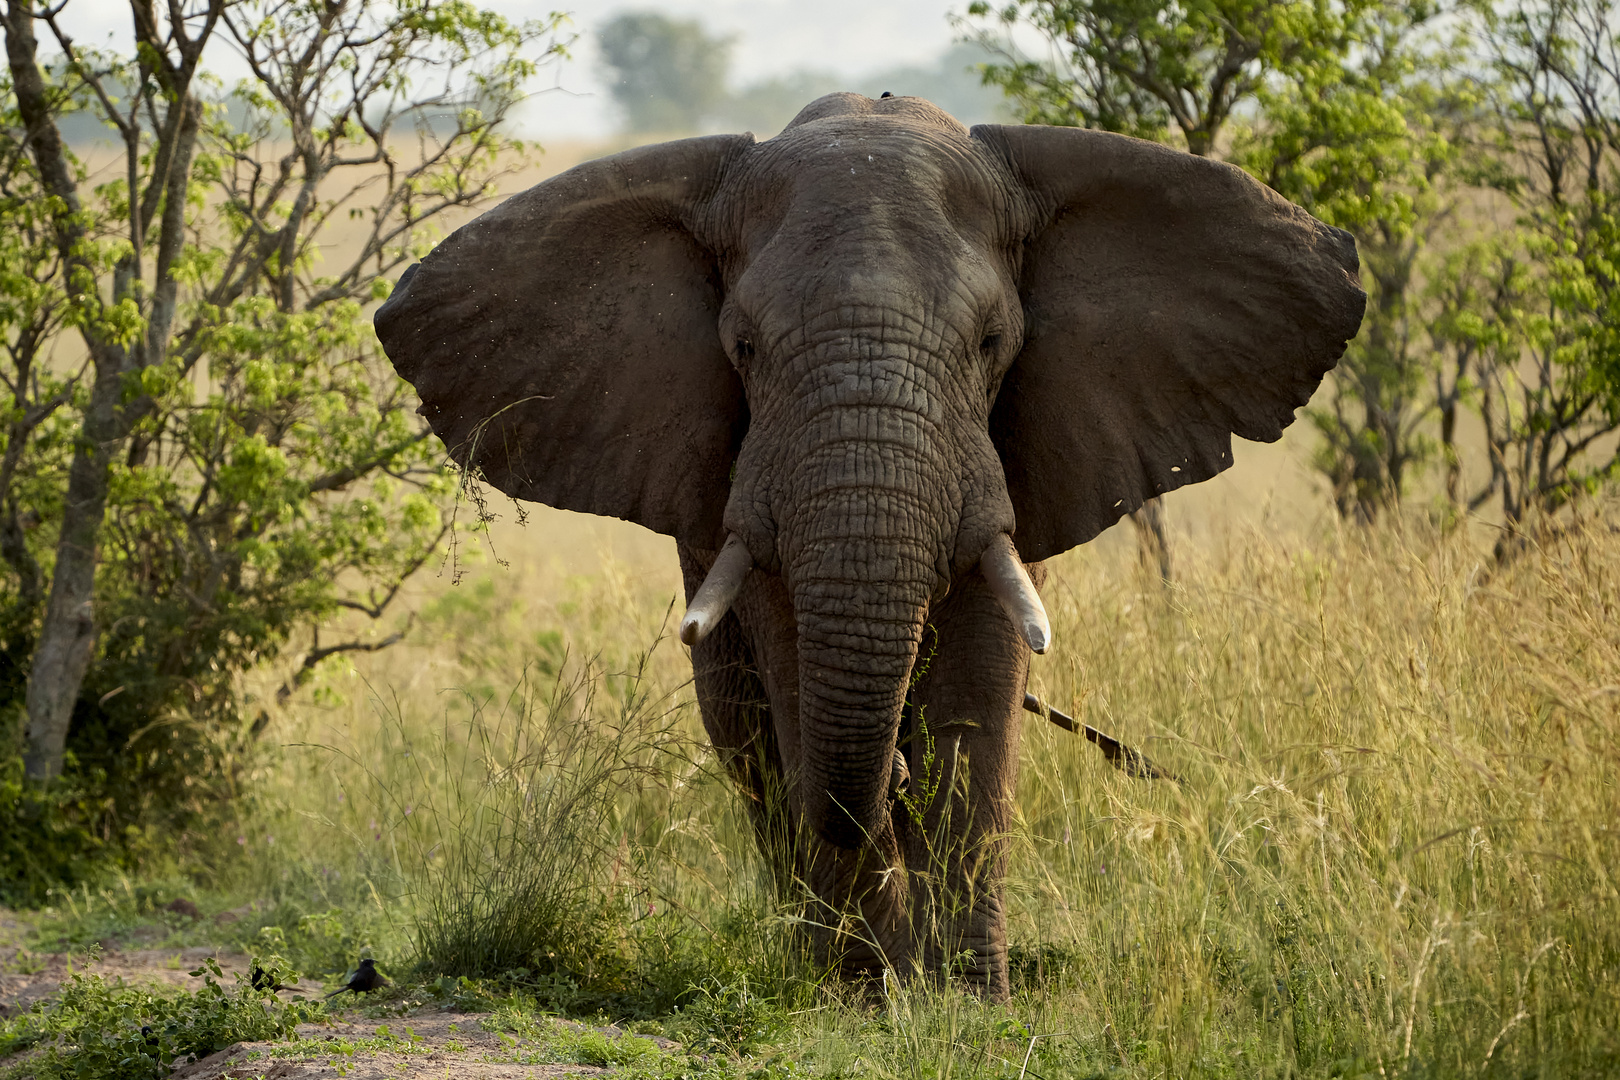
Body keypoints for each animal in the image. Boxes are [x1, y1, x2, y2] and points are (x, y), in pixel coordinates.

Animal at [370, 90, 1367, 997]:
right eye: (742, 347)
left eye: (992, 342)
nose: (890, 773)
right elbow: (794, 675)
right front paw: (865, 990)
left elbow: (980, 686)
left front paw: (965, 996)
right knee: (748, 741)